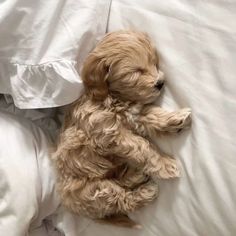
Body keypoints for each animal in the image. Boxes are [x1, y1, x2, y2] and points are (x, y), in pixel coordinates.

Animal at [52, 30, 191, 228]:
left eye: (154, 63)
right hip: (96, 191)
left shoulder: (135, 116)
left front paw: (176, 119)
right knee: (123, 200)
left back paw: (135, 175)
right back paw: (146, 191)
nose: (161, 83)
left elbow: (153, 116)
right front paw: (165, 164)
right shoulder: (110, 134)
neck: (112, 98)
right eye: (136, 72)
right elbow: (143, 147)